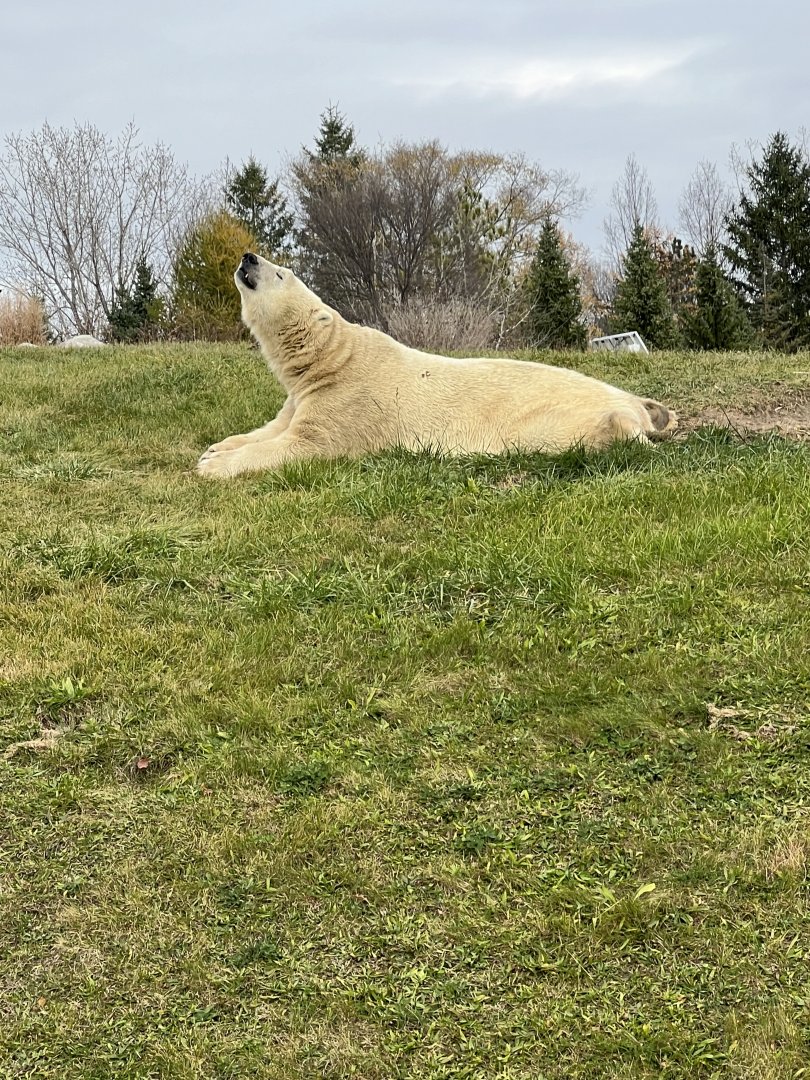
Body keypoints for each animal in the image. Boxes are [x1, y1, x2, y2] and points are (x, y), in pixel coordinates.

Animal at [196, 253, 677, 479]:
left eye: (281, 273)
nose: (248, 257)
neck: (334, 358)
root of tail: (632, 400)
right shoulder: (304, 394)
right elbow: (272, 427)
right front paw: (216, 448)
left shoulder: (347, 403)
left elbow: (303, 445)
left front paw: (212, 467)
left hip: (557, 420)